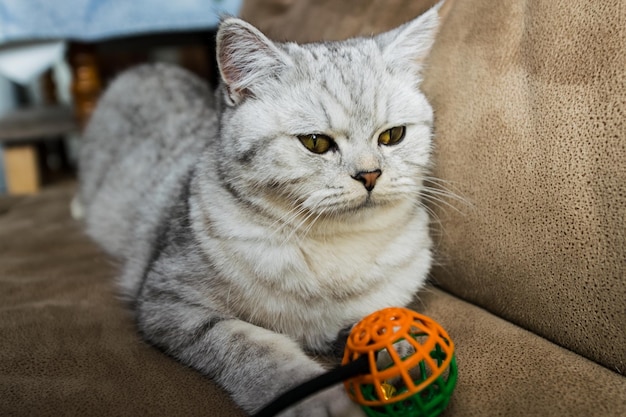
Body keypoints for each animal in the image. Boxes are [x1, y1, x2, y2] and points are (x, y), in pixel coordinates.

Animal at [77, 4, 438, 414]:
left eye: (393, 136)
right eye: (316, 142)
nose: (370, 175)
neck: (334, 248)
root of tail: (148, 67)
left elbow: (378, 324)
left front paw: (401, 354)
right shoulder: (169, 302)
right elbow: (256, 347)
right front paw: (319, 399)